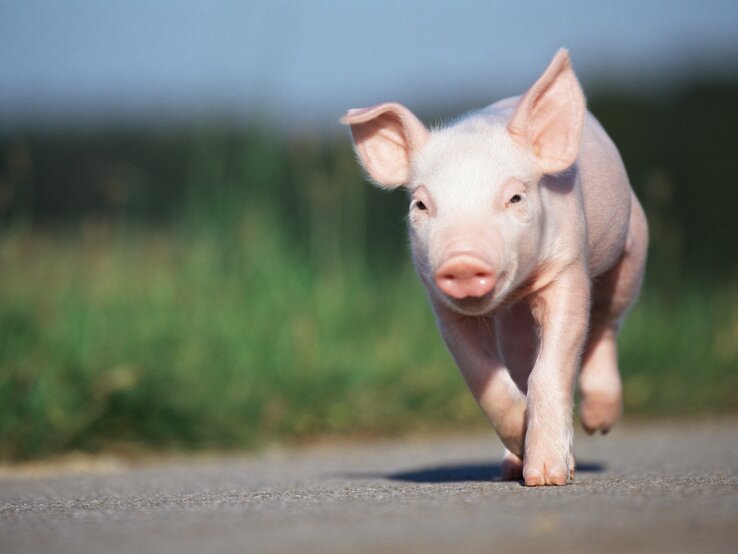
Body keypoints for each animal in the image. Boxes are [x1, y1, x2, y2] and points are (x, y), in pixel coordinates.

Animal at [340, 50, 644, 484]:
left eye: (515, 197)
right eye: (421, 204)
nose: (463, 260)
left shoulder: (568, 266)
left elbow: (551, 365)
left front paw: (548, 478)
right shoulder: (442, 306)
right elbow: (483, 377)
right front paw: (523, 446)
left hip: (634, 242)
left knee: (607, 321)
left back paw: (598, 424)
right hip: (513, 321)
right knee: (519, 357)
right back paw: (511, 465)